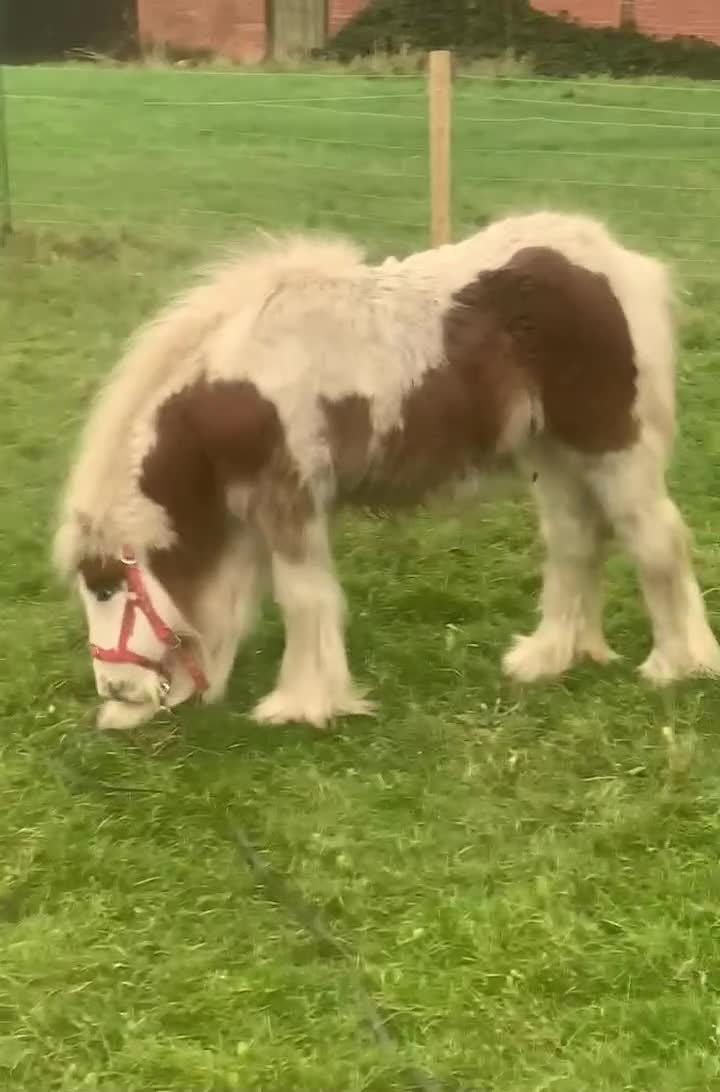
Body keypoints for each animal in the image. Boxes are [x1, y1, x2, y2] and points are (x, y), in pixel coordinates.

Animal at [53, 210, 720, 731]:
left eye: (106, 586)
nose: (117, 690)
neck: (233, 391)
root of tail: (617, 262)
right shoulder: (244, 515)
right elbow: (227, 606)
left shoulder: (287, 501)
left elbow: (303, 597)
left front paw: (302, 704)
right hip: (552, 454)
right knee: (576, 541)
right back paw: (548, 657)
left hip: (612, 448)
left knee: (657, 540)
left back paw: (676, 665)